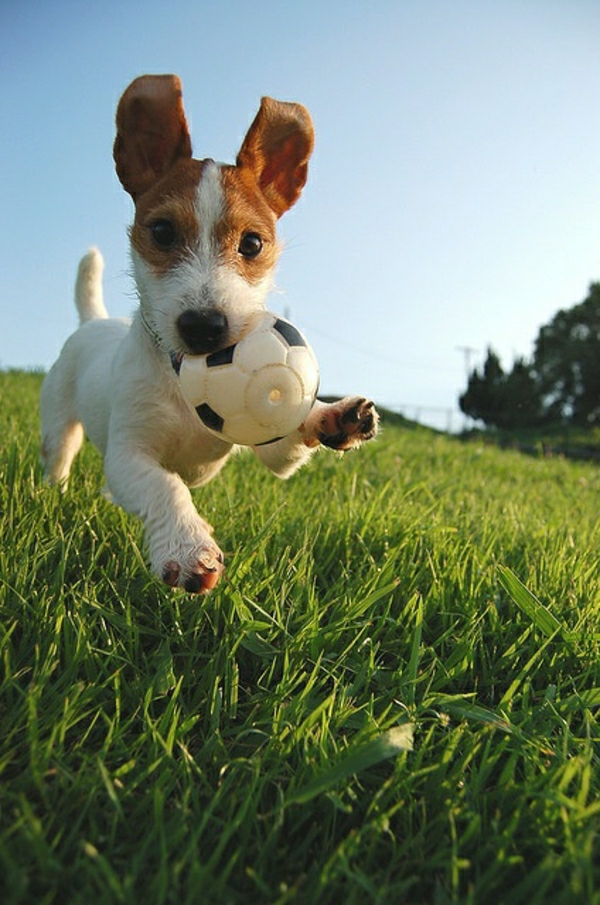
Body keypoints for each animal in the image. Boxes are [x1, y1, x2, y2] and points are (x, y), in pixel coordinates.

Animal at [41, 77, 380, 592]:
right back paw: (53, 496)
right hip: (59, 423)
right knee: (58, 459)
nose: (203, 326)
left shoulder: (270, 447)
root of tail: (92, 321)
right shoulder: (128, 454)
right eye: (162, 232)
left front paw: (331, 415)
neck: (180, 379)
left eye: (253, 243)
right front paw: (187, 546)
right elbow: (165, 485)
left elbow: (288, 438)